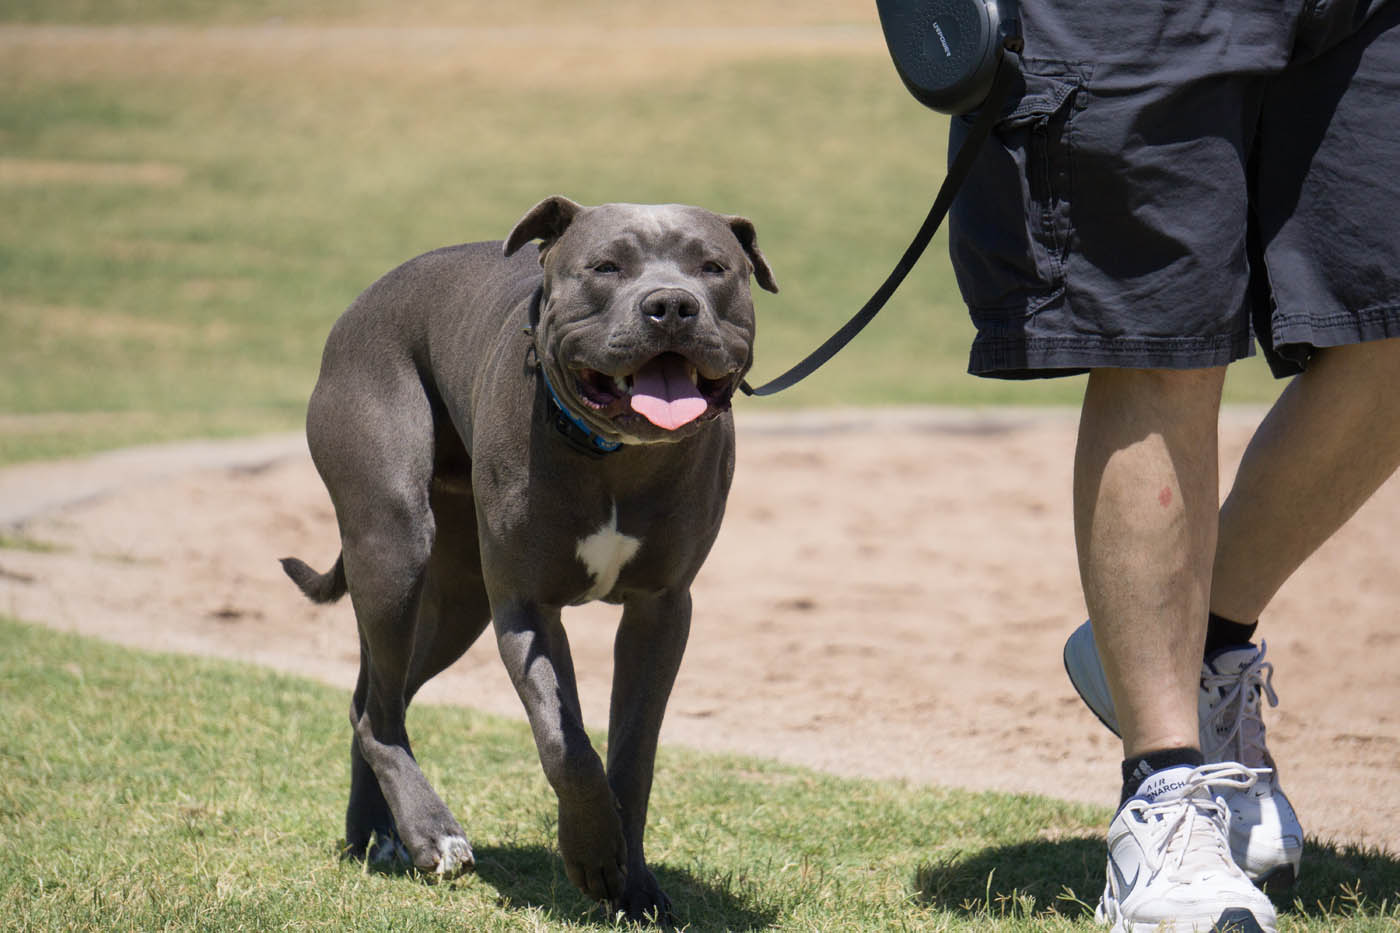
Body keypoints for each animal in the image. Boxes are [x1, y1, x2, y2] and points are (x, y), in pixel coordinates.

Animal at [277, 194, 772, 913]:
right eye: (605, 267)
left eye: (713, 268)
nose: (672, 306)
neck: (614, 453)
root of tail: (364, 303)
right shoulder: (527, 608)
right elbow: (567, 743)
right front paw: (593, 856)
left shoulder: (660, 611)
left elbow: (633, 754)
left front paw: (634, 882)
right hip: (395, 547)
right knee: (378, 714)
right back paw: (431, 835)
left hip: (455, 603)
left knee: (373, 700)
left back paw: (377, 834)